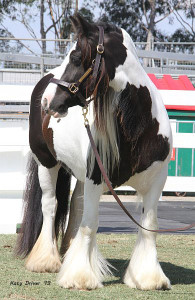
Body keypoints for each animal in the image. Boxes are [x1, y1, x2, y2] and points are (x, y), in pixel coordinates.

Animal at [16, 14, 172, 290]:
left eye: (77, 57)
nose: (46, 102)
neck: (137, 128)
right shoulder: (96, 178)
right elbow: (90, 225)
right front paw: (79, 277)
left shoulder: (156, 181)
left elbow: (148, 225)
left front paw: (148, 277)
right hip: (47, 164)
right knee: (50, 205)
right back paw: (46, 260)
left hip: (80, 174)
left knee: (75, 206)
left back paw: (67, 251)